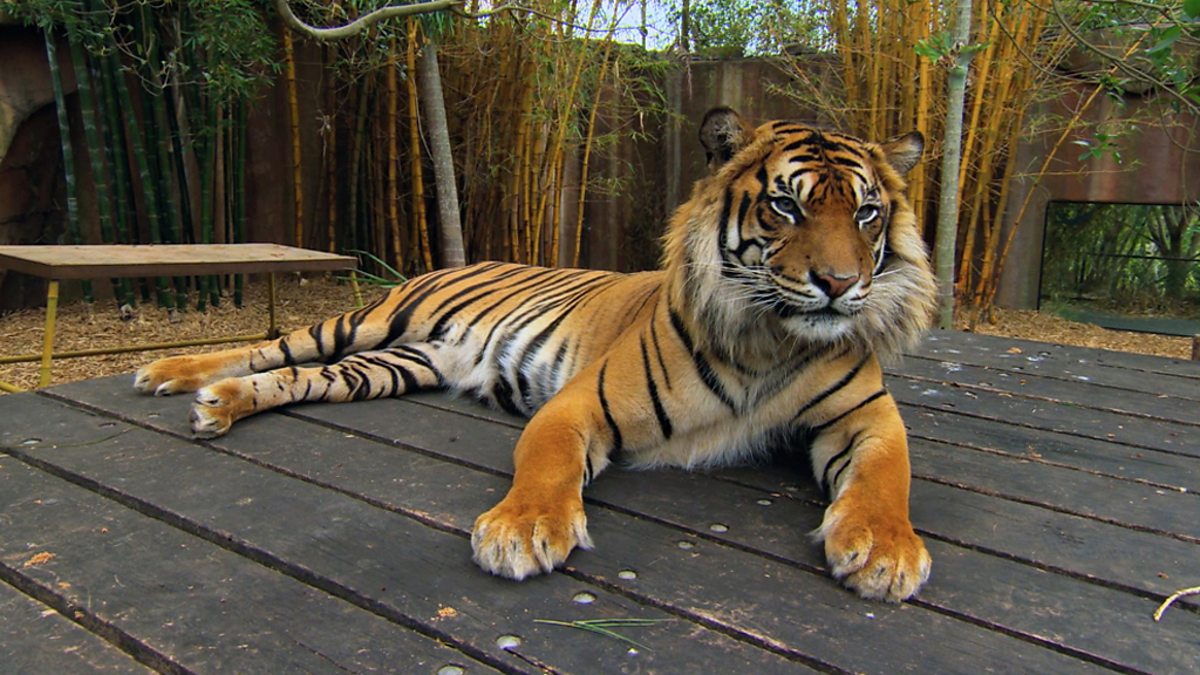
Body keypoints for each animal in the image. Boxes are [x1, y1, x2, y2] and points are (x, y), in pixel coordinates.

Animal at [134, 106, 938, 602]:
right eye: (786, 206)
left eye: (868, 213)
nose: (840, 284)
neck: (771, 336)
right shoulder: (582, 400)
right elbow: (546, 461)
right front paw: (521, 530)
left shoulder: (867, 416)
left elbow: (886, 477)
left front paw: (885, 549)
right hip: (367, 319)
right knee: (266, 347)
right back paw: (170, 375)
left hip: (393, 366)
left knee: (299, 376)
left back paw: (218, 409)